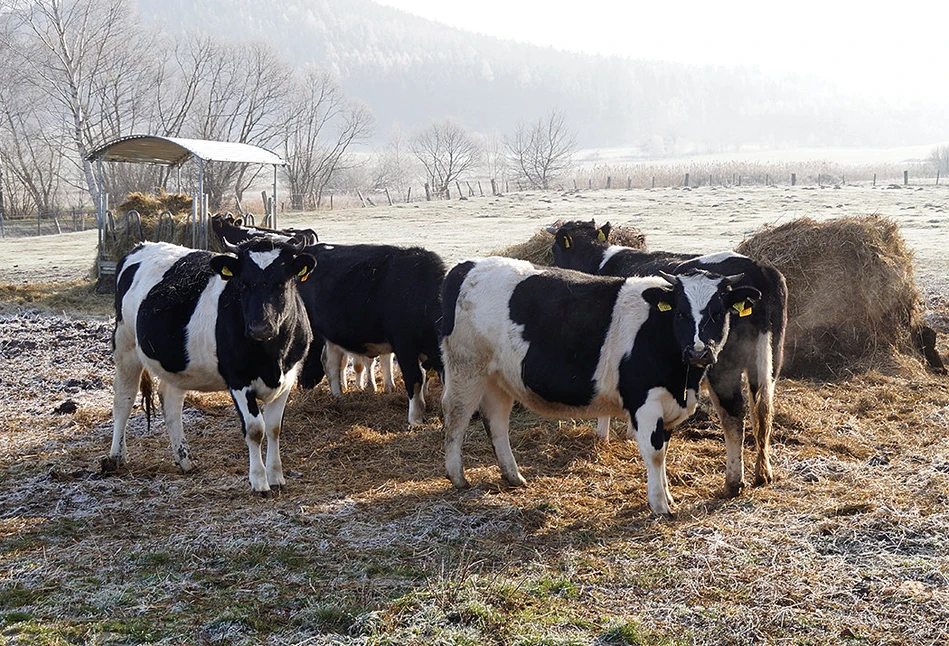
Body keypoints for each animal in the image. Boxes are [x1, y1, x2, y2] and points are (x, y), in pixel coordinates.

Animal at [107, 238, 314, 496]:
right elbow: (255, 429)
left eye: (281, 283)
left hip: (175, 365)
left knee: (171, 403)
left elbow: (274, 428)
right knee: (123, 399)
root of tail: (141, 246)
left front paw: (276, 477)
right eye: (243, 284)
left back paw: (184, 460)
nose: (259, 328)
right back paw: (116, 456)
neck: (272, 358)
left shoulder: (288, 378)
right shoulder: (238, 380)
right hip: (125, 345)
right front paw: (259, 481)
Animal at [440, 258, 760, 516]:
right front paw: (660, 506)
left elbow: (664, 451)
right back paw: (457, 476)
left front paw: (667, 496)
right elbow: (655, 453)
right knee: (455, 417)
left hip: (499, 378)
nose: (698, 352)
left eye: (718, 313)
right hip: (465, 368)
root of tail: (467, 265)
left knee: (496, 423)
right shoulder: (645, 402)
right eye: (680, 313)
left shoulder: (669, 405)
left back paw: (513, 476)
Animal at [548, 219, 784, 496]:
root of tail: (759, 267)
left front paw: (603, 436)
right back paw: (763, 472)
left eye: (554, 249)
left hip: (721, 366)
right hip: (768, 360)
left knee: (734, 414)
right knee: (764, 410)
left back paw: (733, 482)